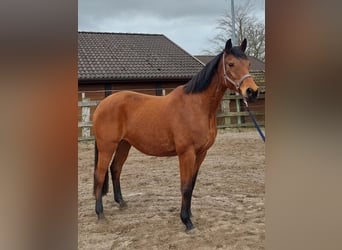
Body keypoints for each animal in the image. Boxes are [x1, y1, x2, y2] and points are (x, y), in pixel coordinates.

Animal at [92, 38, 258, 230]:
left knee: (115, 169)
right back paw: (100, 214)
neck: (197, 106)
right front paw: (186, 221)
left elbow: (191, 185)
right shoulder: (186, 153)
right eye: (231, 64)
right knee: (99, 175)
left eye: (248, 64)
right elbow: (185, 186)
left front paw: (189, 214)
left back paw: (121, 202)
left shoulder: (201, 153)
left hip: (124, 145)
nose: (252, 91)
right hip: (107, 147)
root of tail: (102, 104)